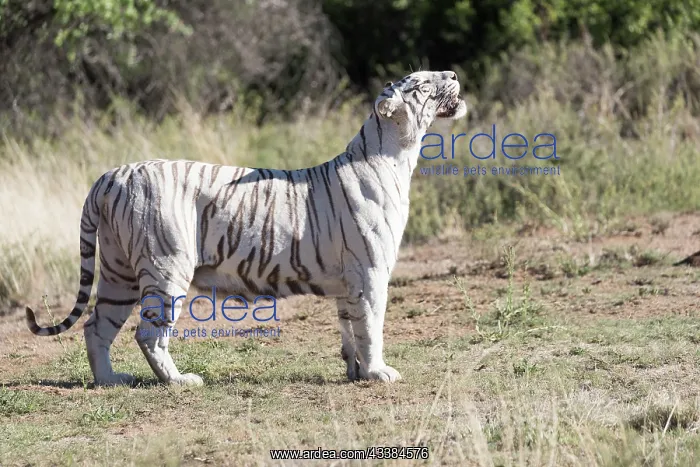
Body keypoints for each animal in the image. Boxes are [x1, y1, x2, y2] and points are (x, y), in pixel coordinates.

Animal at [26, 70, 467, 387]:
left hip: (120, 273)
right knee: (148, 334)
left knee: (96, 326)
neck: (397, 154)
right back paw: (180, 381)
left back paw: (110, 380)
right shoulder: (372, 270)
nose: (453, 73)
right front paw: (379, 373)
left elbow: (350, 326)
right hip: (166, 267)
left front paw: (356, 373)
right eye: (423, 83)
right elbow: (371, 325)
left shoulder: (348, 280)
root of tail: (111, 175)